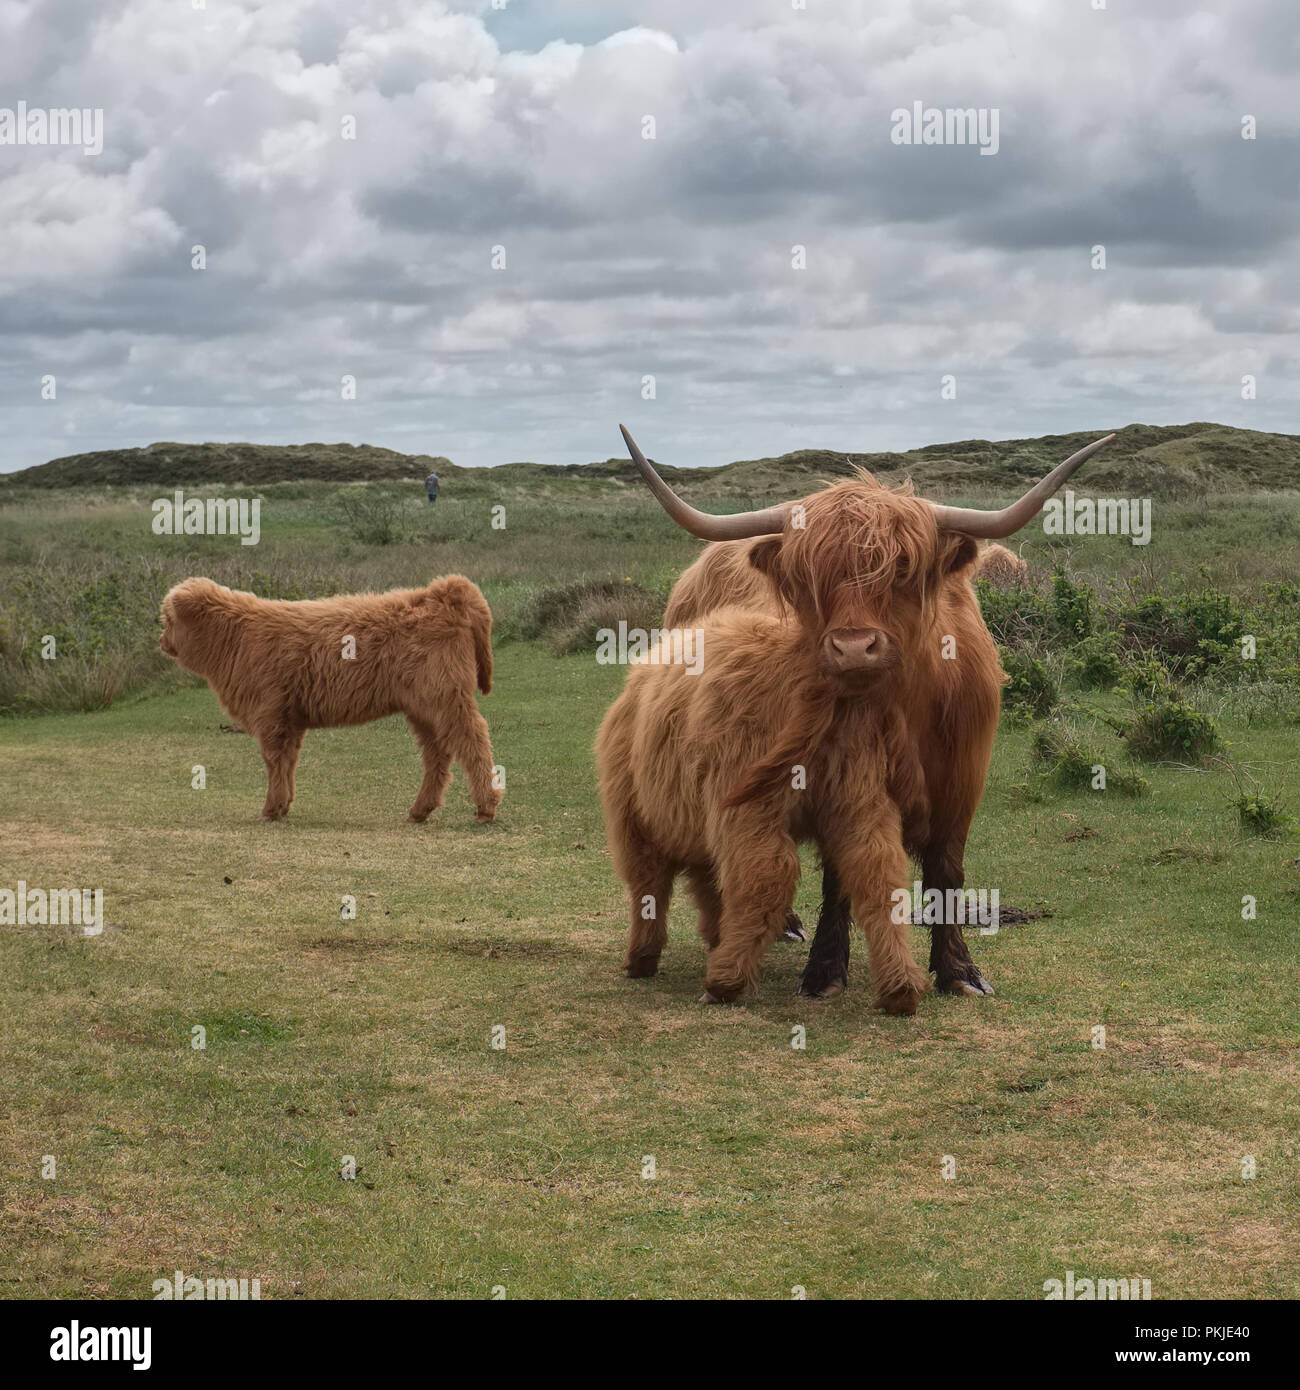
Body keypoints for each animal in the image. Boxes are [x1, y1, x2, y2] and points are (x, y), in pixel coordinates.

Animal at [159, 575, 502, 825]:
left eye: (168, 619)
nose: (160, 640)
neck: (235, 638)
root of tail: (444, 591)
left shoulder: (270, 715)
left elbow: (273, 761)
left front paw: (270, 809)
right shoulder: (291, 719)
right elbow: (288, 762)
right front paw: (284, 804)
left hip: (445, 699)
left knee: (472, 739)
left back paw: (486, 807)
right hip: (423, 709)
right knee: (437, 754)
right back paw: (420, 810)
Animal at [597, 426, 1112, 1012]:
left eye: (903, 570)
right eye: (808, 577)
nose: (853, 647)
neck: (903, 710)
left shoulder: (962, 782)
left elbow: (946, 870)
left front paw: (960, 971)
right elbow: (838, 876)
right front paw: (824, 971)